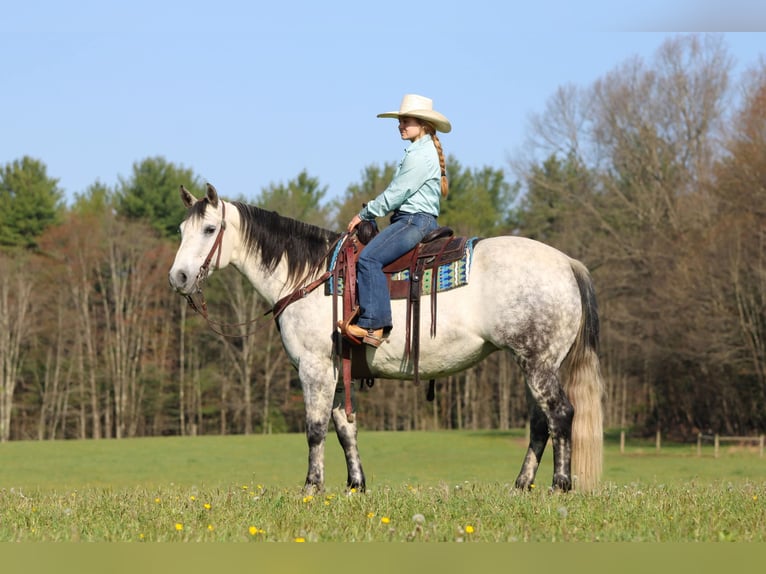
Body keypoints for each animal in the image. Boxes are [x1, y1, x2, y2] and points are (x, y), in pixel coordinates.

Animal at [168, 183, 605, 492]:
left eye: (210, 229)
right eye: (181, 229)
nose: (179, 278)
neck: (310, 276)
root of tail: (567, 263)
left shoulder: (314, 368)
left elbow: (315, 428)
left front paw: (311, 488)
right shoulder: (336, 370)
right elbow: (346, 428)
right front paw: (355, 486)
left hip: (539, 363)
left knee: (561, 415)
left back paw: (560, 486)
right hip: (532, 364)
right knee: (540, 423)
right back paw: (521, 486)